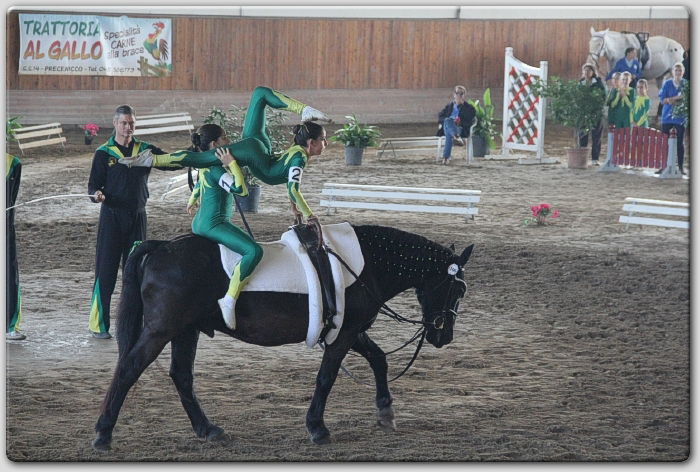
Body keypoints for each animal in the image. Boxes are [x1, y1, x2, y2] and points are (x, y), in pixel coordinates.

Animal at [93, 225, 474, 450]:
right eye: (458, 290)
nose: (444, 335)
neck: (364, 264)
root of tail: (160, 247)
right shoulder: (344, 334)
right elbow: (326, 378)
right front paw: (317, 428)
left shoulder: (349, 330)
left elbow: (378, 360)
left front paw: (385, 411)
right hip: (162, 329)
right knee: (128, 369)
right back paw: (103, 434)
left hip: (186, 330)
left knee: (181, 376)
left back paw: (208, 429)